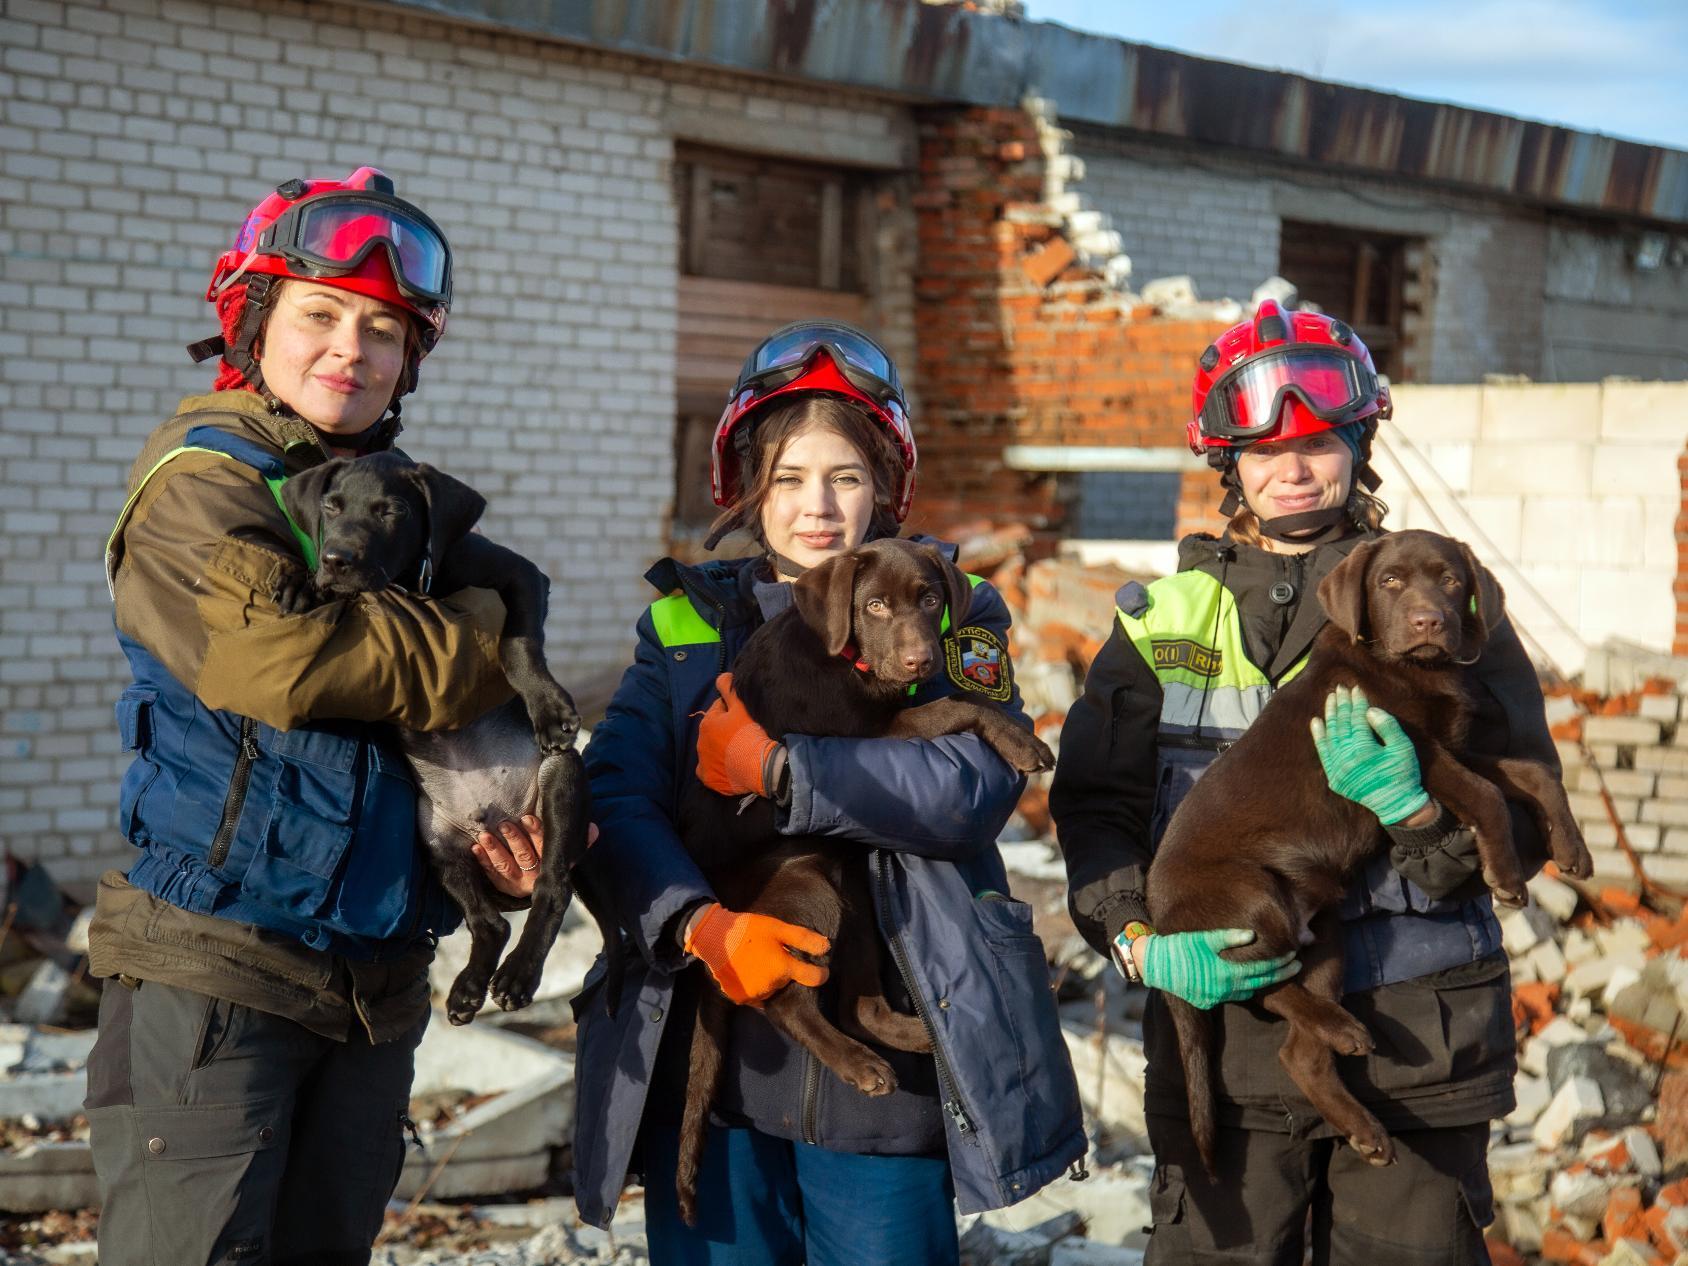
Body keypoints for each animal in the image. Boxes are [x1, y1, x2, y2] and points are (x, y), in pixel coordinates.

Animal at [276, 452, 621, 1026]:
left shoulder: (521, 574)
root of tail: (496, 817)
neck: (411, 583)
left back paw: (517, 978)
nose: (336, 559)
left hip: (561, 779)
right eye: (331, 506)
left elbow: (517, 643)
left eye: (391, 511)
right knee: (491, 923)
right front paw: (303, 581)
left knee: (552, 888)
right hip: (437, 839)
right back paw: (466, 991)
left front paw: (548, 708)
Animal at [675, 536, 1053, 1228]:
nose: (920, 657)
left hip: (852, 895)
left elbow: (957, 699)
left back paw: (922, 1037)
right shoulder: (869, 733)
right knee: (785, 1002)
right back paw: (859, 1065)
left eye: (930, 600)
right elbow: (951, 704)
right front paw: (1021, 742)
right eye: (873, 605)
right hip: (806, 894)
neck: (850, 661)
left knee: (860, 1004)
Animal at [1141, 526, 1586, 1181]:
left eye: (1450, 580)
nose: (1429, 622)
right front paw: (1505, 875)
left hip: (1325, 933)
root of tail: (1165, 927)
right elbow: (1488, 796)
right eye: (1389, 581)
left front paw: (1572, 848)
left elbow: (1533, 773)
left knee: (1296, 1046)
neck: (1412, 667)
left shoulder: (1450, 746)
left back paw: (1363, 1119)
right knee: (1252, 982)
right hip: (1253, 899)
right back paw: (1341, 1030)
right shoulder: (1419, 749)